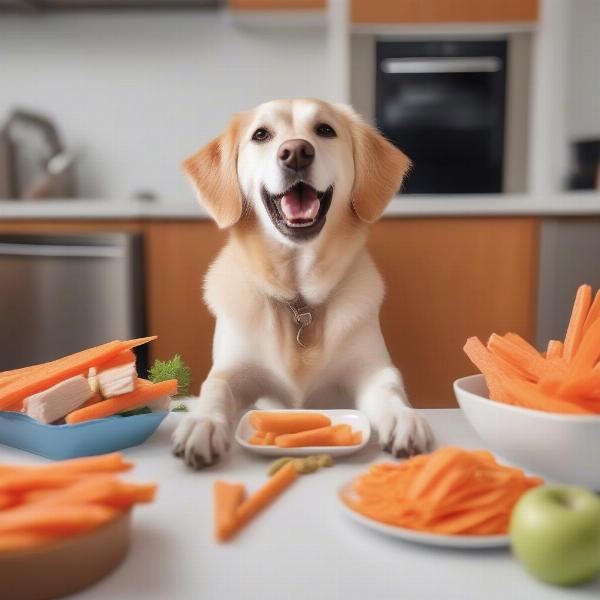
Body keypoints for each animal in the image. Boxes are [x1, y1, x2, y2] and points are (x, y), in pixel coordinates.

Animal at [171, 97, 434, 468]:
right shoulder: (233, 371)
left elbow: (390, 389)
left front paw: (402, 418)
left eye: (325, 129)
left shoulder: (371, 369)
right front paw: (203, 423)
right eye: (261, 134)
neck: (299, 299)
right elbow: (215, 389)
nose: (296, 152)